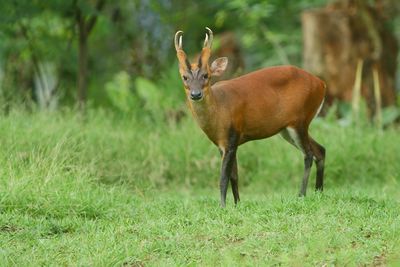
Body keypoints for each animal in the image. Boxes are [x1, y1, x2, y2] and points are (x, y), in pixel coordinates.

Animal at [173, 27, 326, 207]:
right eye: (184, 77)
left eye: (206, 75)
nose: (196, 94)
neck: (219, 110)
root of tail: (322, 84)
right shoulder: (223, 144)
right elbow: (234, 176)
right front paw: (237, 204)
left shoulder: (232, 137)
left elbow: (223, 178)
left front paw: (222, 206)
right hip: (287, 129)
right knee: (320, 150)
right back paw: (319, 192)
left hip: (300, 120)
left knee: (309, 154)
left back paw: (301, 195)